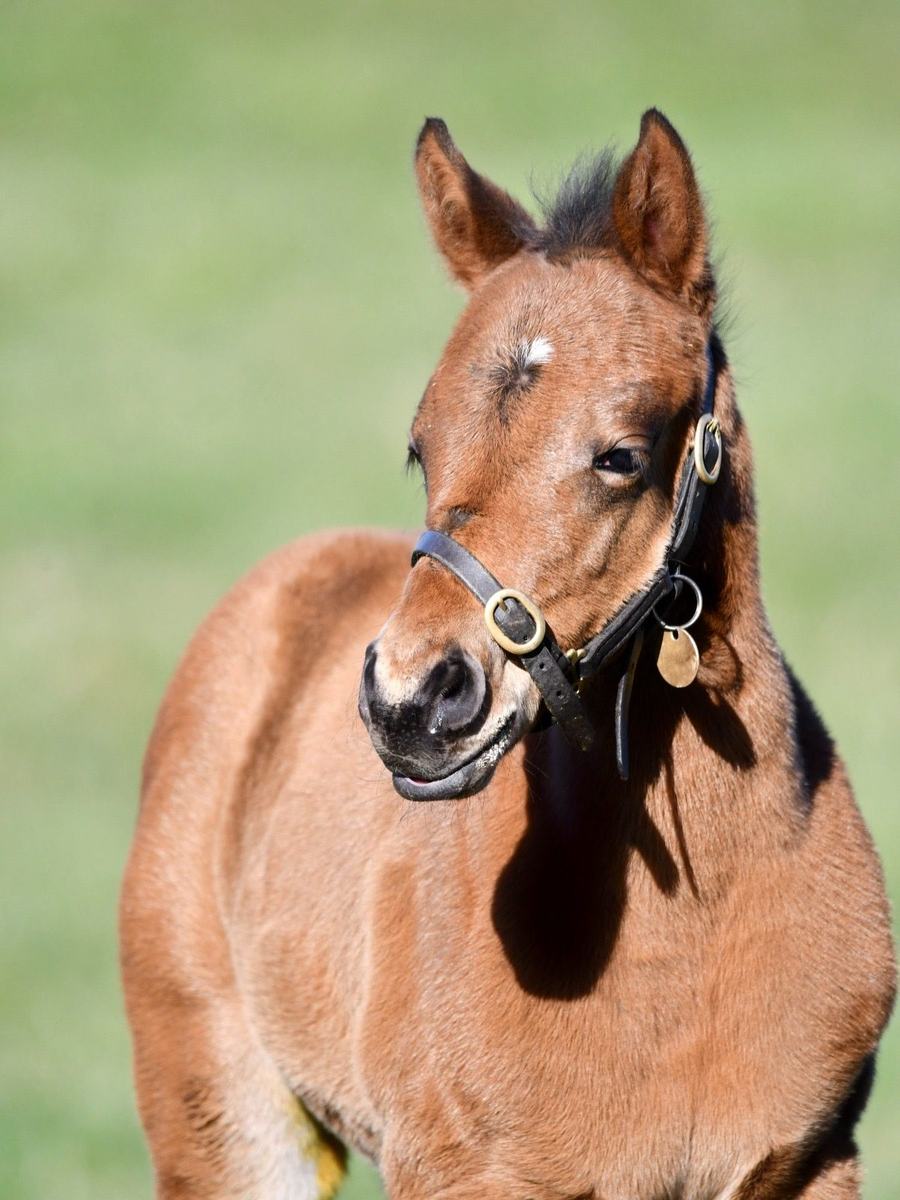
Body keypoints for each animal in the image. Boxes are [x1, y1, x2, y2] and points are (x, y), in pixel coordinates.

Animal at [120, 109, 895, 1200]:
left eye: (620, 455)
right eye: (421, 445)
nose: (412, 703)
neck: (689, 931)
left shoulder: (813, 1159)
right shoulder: (462, 1170)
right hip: (222, 1115)